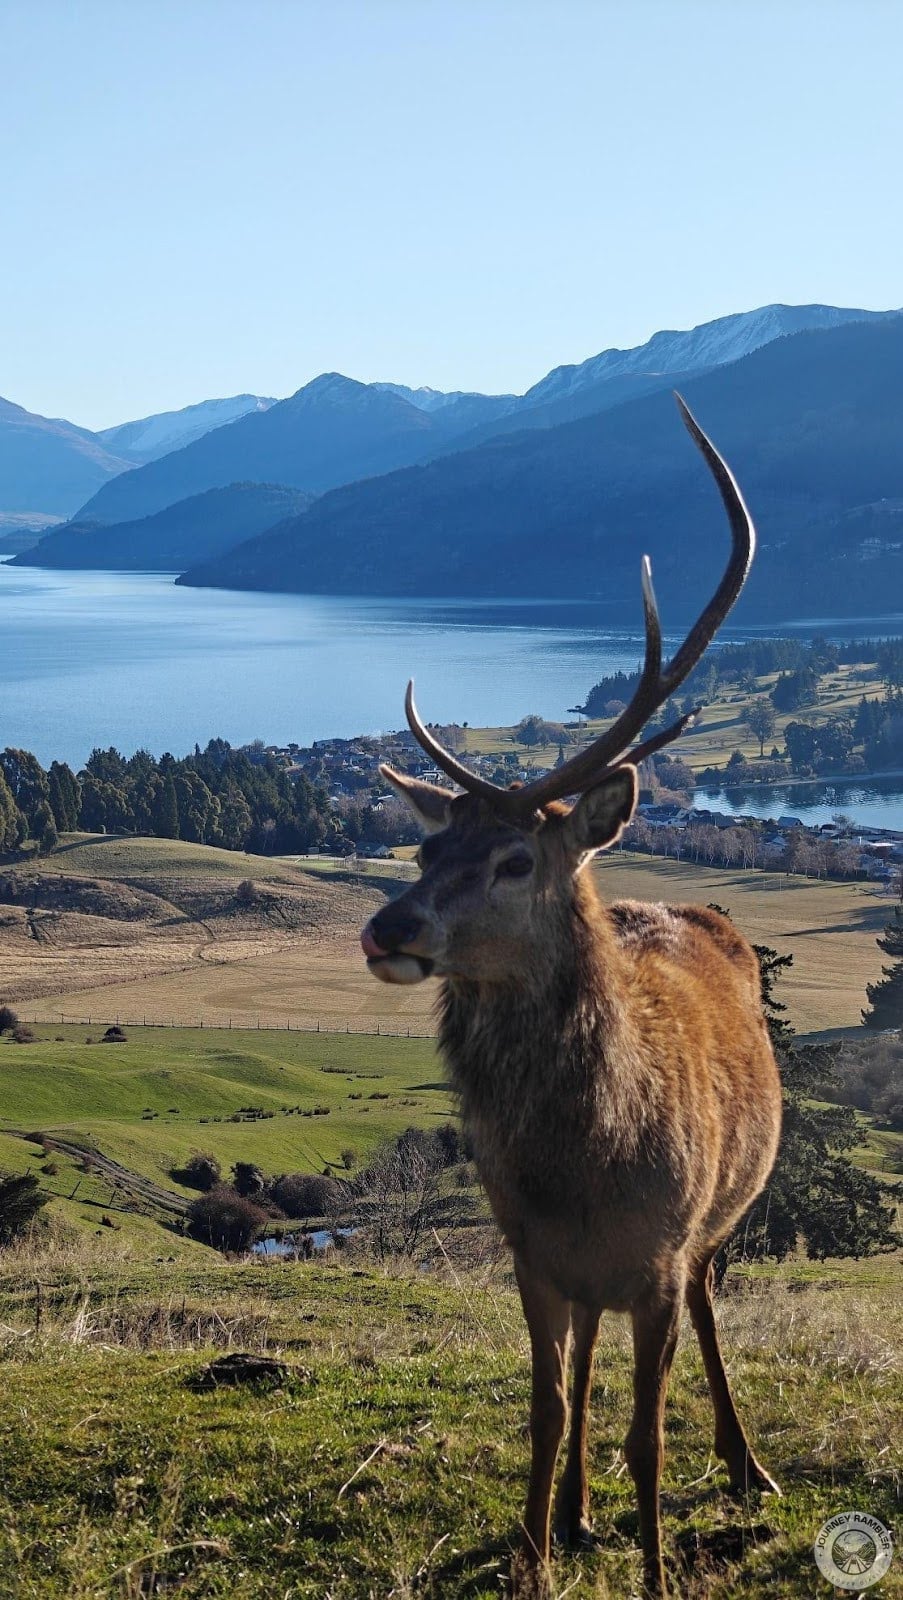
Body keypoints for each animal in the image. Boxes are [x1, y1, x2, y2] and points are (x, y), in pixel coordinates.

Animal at [360, 396, 783, 1599]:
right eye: (426, 845)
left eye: (514, 860)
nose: (387, 928)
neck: (587, 1160)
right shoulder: (531, 1253)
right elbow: (547, 1410)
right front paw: (533, 1554)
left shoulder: (659, 1255)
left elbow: (649, 1433)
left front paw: (653, 1569)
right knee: (589, 1358)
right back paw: (584, 1513)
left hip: (719, 1221)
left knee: (712, 1309)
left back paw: (747, 1466)